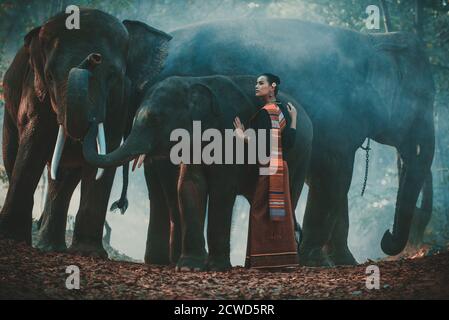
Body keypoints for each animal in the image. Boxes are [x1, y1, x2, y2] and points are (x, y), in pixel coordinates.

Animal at [0, 8, 172, 258]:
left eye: (112, 76)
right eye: (49, 76)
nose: (94, 58)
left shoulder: (119, 102)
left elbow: (106, 153)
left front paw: (88, 253)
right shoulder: (35, 92)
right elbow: (34, 143)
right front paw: (12, 239)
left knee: (64, 178)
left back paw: (52, 247)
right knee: (14, 157)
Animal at [83, 75, 312, 270]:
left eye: (156, 119)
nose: (93, 119)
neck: (194, 82)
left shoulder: (228, 138)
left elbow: (222, 189)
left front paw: (216, 267)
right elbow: (189, 185)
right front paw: (189, 267)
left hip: (299, 159)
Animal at [106, 18, 434, 266]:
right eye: (421, 100)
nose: (386, 237)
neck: (373, 39)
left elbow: (331, 180)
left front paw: (343, 261)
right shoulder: (338, 114)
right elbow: (336, 176)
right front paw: (319, 261)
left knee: (157, 182)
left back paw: (162, 260)